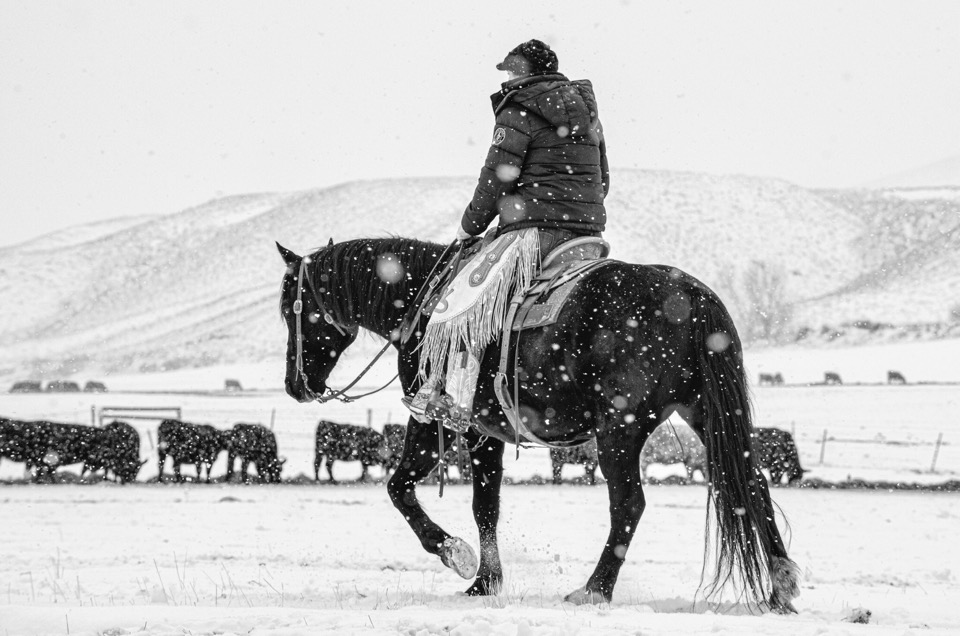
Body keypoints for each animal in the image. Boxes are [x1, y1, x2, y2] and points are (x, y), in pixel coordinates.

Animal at [274, 237, 800, 612]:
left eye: (289, 310)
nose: (294, 385)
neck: (422, 301)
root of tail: (691, 294)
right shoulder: (485, 433)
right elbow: (486, 506)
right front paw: (486, 582)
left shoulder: (433, 420)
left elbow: (399, 487)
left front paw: (455, 554)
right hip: (705, 414)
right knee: (751, 484)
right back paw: (780, 585)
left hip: (621, 429)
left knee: (629, 503)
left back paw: (595, 589)